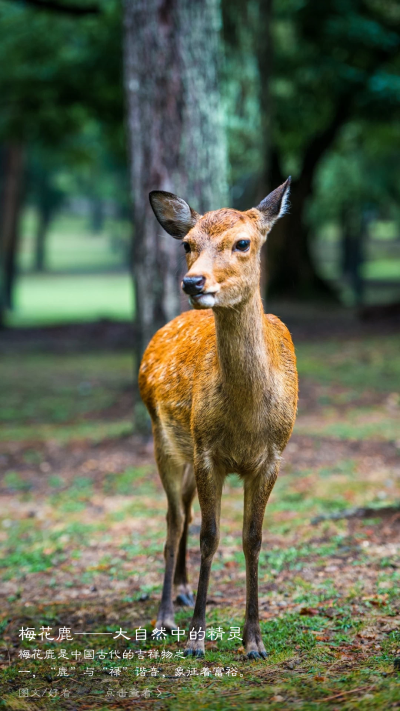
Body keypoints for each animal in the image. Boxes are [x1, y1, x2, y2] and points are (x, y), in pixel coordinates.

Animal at [139, 179, 298, 660]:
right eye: (188, 244)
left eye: (242, 242)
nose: (193, 281)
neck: (246, 421)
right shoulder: (208, 452)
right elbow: (210, 537)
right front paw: (196, 639)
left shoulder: (271, 458)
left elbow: (252, 539)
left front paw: (254, 641)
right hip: (165, 441)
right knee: (174, 520)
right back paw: (165, 615)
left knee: (185, 511)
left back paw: (183, 590)